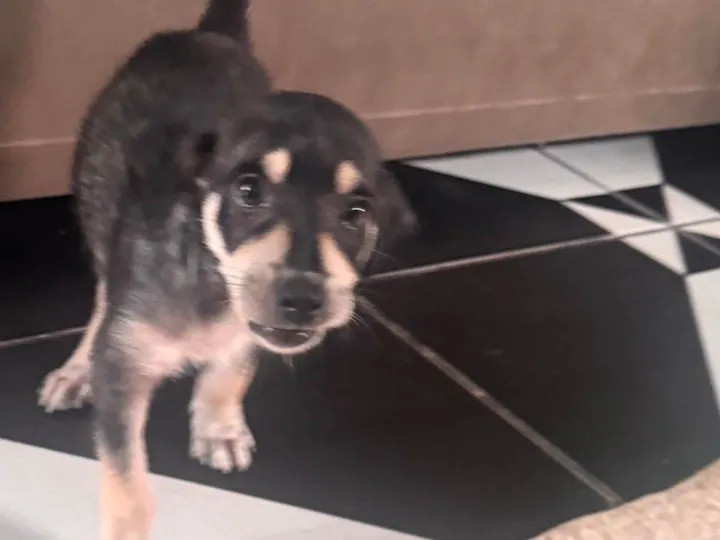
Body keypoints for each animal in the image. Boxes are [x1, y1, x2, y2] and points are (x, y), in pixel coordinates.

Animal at [36, 0, 415, 538]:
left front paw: (218, 428)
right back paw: (77, 369)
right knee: (104, 292)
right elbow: (127, 481)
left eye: (357, 213)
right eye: (248, 191)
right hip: (97, 202)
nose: (303, 300)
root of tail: (204, 34)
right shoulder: (124, 366)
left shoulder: (249, 330)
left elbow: (232, 369)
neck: (213, 280)